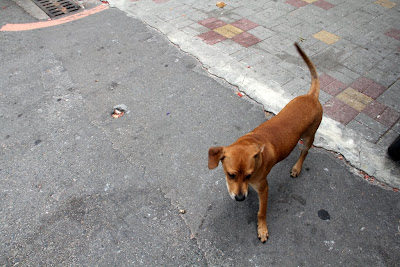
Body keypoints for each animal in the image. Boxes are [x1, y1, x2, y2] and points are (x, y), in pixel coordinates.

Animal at [208, 43, 324, 244]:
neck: (251, 142)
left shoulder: (264, 188)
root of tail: (311, 96)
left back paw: (297, 167)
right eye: (231, 175)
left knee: (304, 152)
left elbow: (261, 212)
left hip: (310, 136)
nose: (240, 198)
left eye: (249, 175)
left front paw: (262, 228)